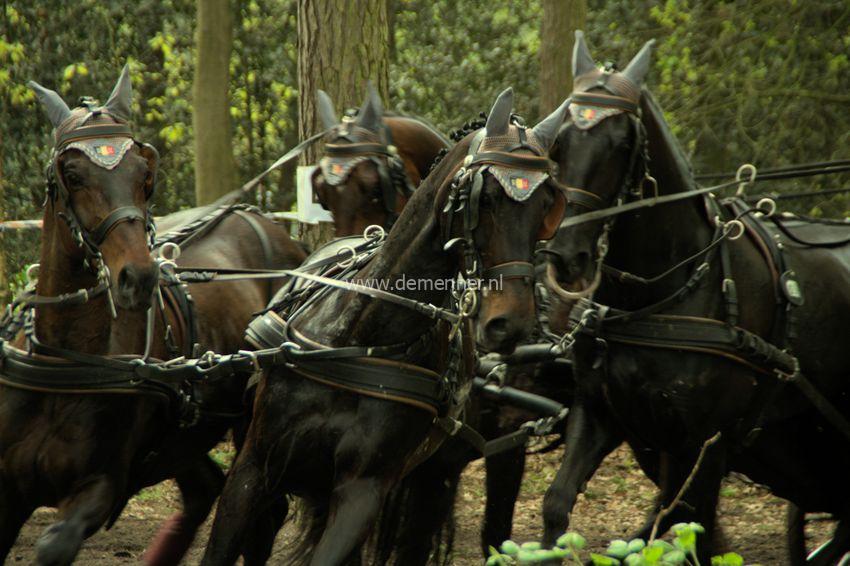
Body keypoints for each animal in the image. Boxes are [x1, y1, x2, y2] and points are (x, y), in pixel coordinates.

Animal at [0, 67, 304, 566]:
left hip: (253, 422)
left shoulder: (102, 485)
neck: (65, 359)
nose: (138, 277)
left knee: (261, 512)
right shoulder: (8, 491)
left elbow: (53, 544)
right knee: (205, 490)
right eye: (72, 174)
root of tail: (266, 223)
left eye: (144, 174)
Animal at [540, 31, 848, 564]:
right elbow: (558, 505)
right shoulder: (603, 413)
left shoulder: (705, 444)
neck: (659, 298)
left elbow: (686, 527)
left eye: (623, 143)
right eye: (560, 140)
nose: (566, 253)